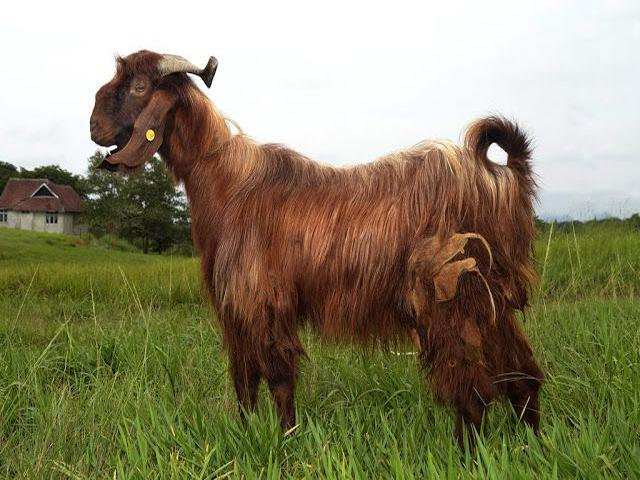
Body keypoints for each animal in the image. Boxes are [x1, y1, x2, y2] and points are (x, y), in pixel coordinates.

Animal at [90, 50, 543, 447]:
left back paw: (464, 453)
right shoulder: (235, 311)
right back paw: (532, 443)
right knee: (521, 375)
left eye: (140, 86)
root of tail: (501, 175)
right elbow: (243, 379)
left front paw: (287, 439)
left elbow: (278, 378)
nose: (94, 126)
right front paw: (244, 432)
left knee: (474, 391)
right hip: (490, 301)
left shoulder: (263, 299)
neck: (227, 182)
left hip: (450, 297)